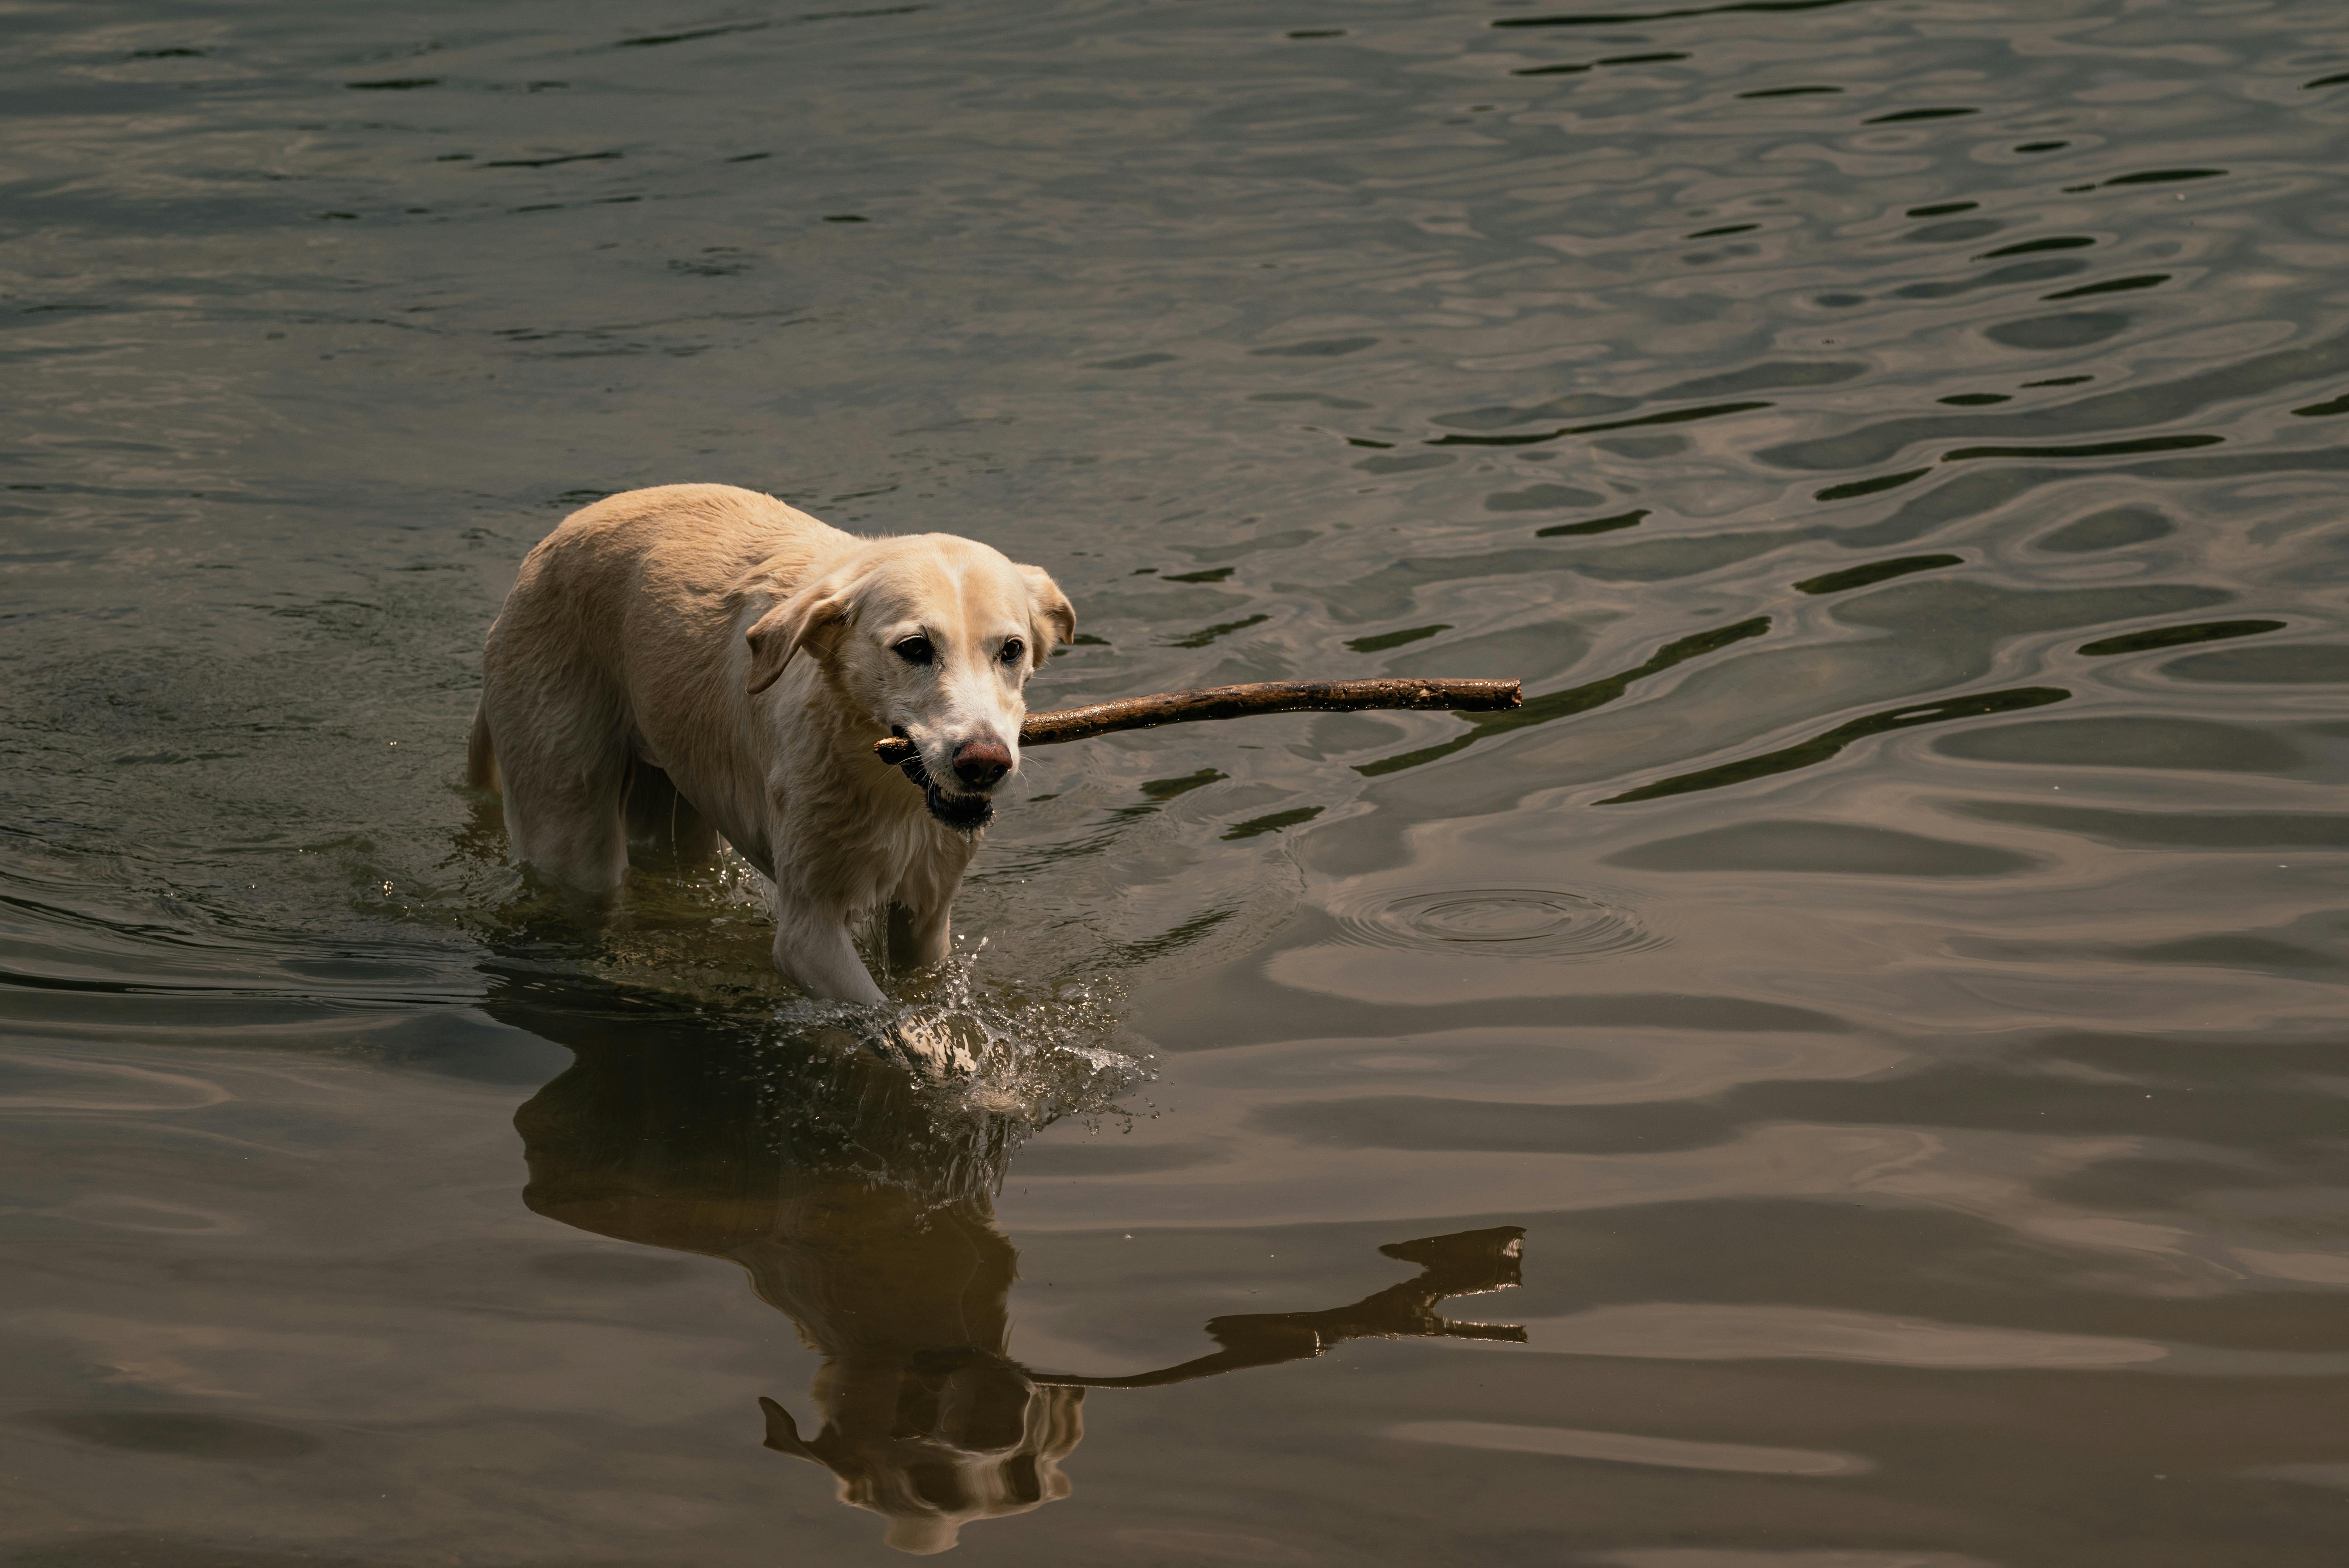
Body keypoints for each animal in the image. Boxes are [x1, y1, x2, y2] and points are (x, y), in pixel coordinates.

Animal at [467, 481, 1076, 1005]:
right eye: (915, 648)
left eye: (1012, 650)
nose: (985, 764)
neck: (882, 785)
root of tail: (544, 550)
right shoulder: (809, 936)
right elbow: (895, 1024)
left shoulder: (926, 920)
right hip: (570, 824)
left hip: (679, 807)